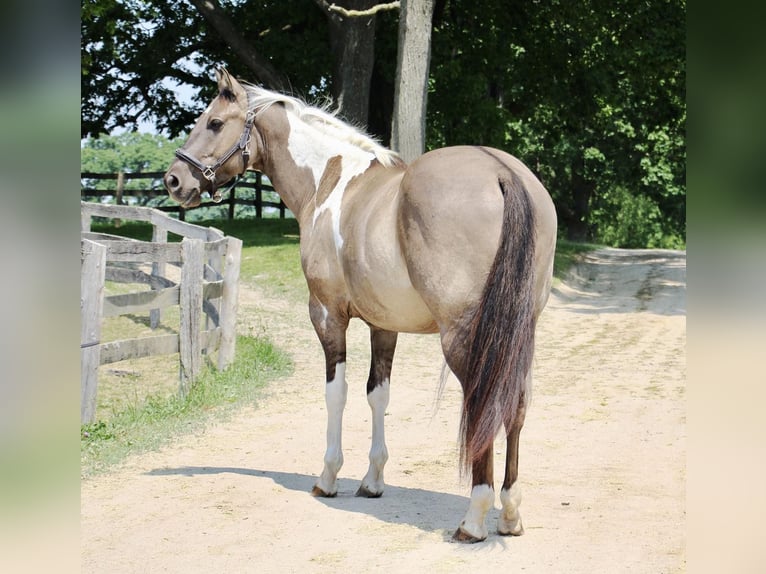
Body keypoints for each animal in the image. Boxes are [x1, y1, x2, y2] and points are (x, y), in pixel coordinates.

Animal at [164, 68, 560, 544]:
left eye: (215, 123)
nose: (173, 180)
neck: (328, 181)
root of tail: (502, 173)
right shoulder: (383, 324)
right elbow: (378, 394)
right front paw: (373, 481)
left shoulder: (327, 315)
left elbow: (337, 393)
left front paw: (328, 477)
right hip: (521, 334)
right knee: (516, 405)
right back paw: (510, 513)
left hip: (464, 337)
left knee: (484, 404)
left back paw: (474, 519)